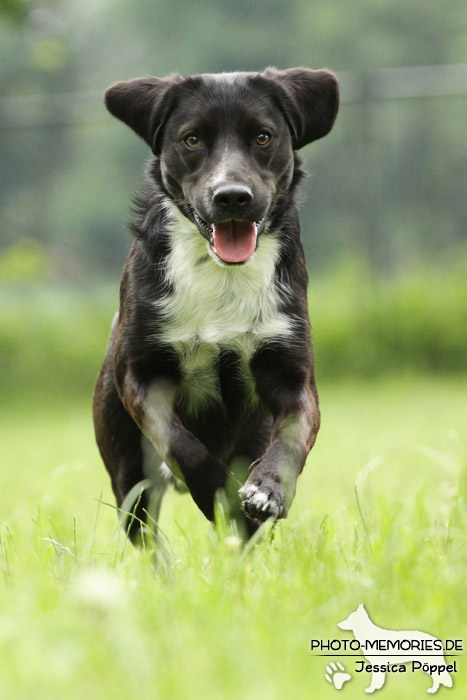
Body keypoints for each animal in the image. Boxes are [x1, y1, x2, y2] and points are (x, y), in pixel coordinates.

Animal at [92, 67, 340, 540]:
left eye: (263, 137)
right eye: (191, 140)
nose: (232, 196)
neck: (221, 274)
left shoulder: (291, 371)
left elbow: (293, 435)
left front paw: (268, 491)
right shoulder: (141, 376)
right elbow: (179, 443)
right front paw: (218, 494)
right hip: (126, 469)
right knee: (145, 532)